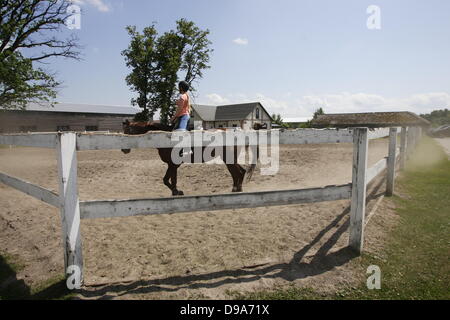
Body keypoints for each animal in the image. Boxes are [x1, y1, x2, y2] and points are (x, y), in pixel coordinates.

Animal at [120, 120, 256, 195]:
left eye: (128, 131)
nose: (124, 149)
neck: (165, 138)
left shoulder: (173, 164)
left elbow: (168, 180)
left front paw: (176, 191)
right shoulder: (172, 165)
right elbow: (169, 180)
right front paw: (175, 192)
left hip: (228, 159)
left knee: (238, 172)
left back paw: (238, 188)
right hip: (228, 159)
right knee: (238, 172)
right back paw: (236, 188)